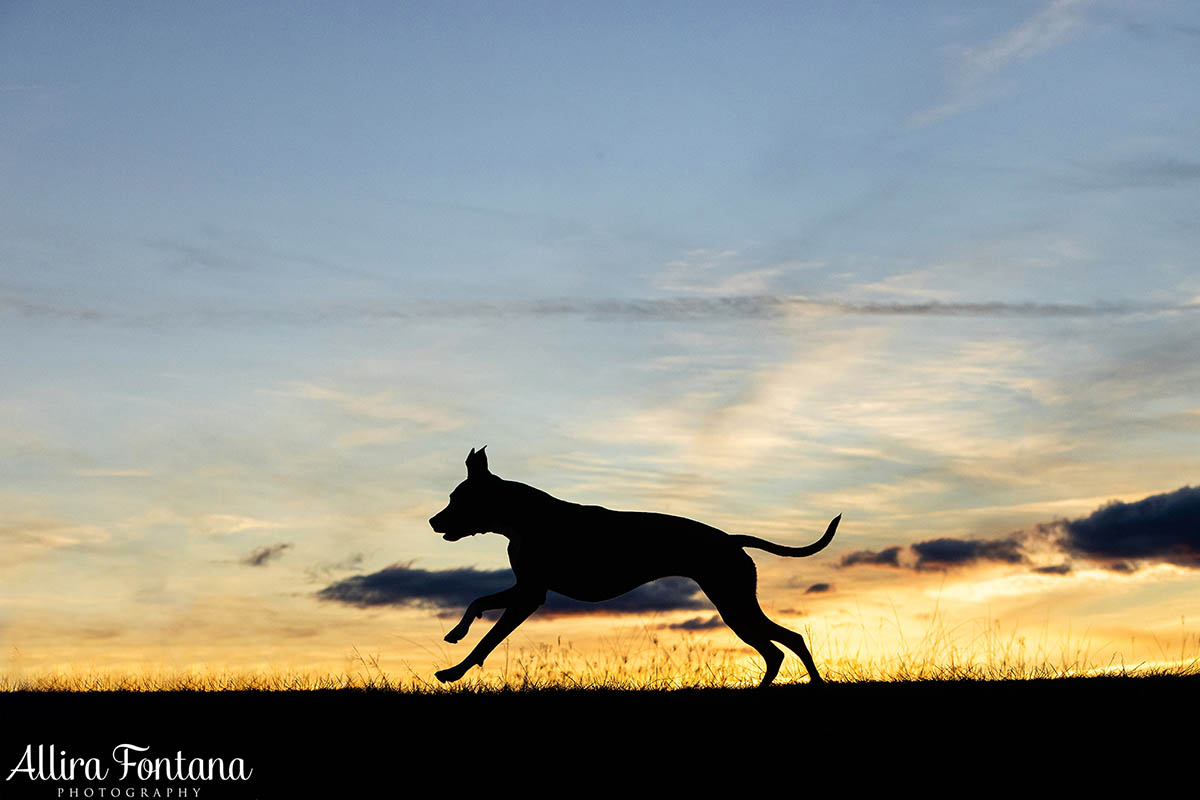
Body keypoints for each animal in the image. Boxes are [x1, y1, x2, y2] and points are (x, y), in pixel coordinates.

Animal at [427, 448, 840, 686]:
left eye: (457, 499)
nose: (433, 521)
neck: (525, 518)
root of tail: (730, 538)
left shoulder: (529, 596)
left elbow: (488, 640)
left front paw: (454, 671)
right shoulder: (528, 588)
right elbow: (478, 602)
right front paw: (457, 632)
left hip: (733, 605)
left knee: (782, 645)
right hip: (735, 605)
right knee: (783, 645)